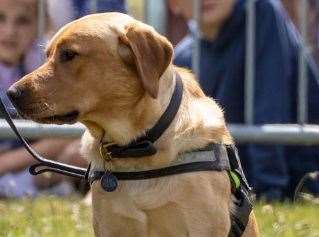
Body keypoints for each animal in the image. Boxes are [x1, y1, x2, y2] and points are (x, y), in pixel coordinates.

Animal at [7, 13, 258, 237]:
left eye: (69, 54)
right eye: (47, 54)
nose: (11, 93)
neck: (139, 148)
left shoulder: (203, 226)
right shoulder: (110, 226)